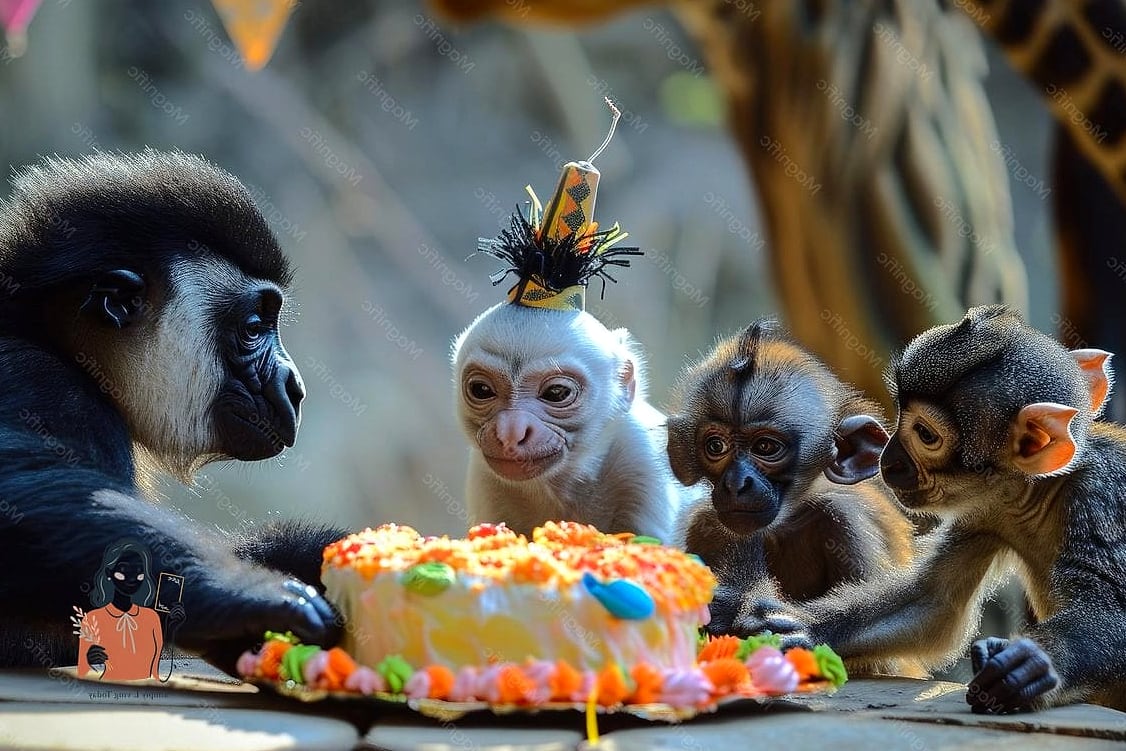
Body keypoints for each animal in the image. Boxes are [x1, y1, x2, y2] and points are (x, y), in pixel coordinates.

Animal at [667, 320, 922, 673]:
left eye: (765, 447)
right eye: (716, 446)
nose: (736, 483)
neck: (784, 524)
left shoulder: (845, 520)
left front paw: (735, 608)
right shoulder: (706, 524)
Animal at [755, 305, 1126, 712]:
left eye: (925, 435)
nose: (889, 461)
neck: (1043, 491)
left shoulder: (1097, 500)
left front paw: (1034, 663)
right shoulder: (986, 511)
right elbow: (934, 605)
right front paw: (805, 633)